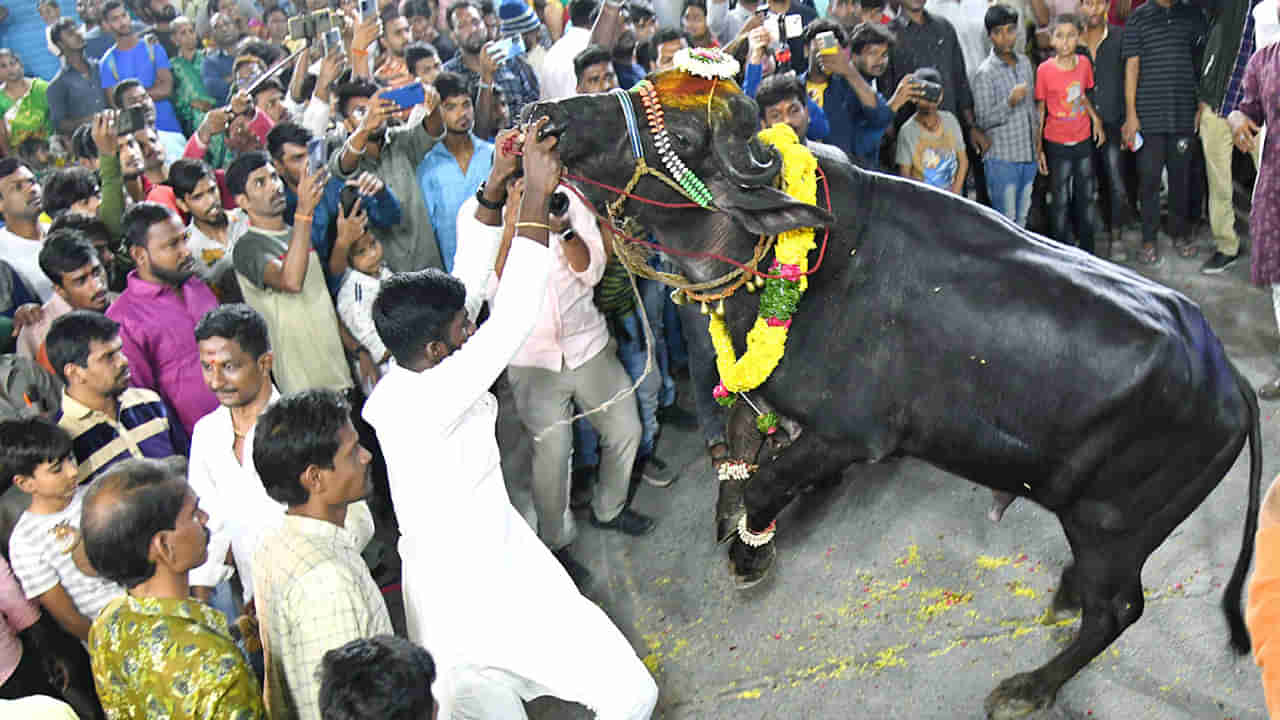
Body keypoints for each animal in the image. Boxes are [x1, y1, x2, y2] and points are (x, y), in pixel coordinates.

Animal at [522, 74, 1259, 717]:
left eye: (676, 132)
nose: (549, 116)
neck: (803, 259)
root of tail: (1232, 380)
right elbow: (737, 443)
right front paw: (730, 517)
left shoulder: (851, 437)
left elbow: (766, 484)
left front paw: (749, 552)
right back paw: (1064, 597)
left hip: (1113, 527)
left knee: (1119, 611)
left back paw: (1028, 687)